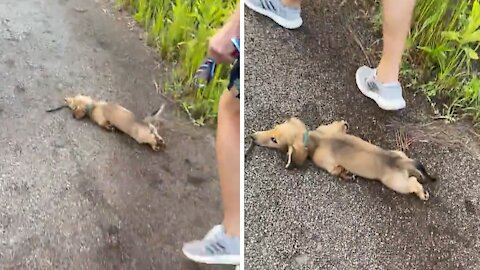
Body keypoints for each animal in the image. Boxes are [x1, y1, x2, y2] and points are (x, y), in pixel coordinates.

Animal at [251, 118, 436, 200]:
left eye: (274, 140)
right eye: (274, 127)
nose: (252, 137)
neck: (316, 139)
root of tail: (399, 161)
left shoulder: (326, 162)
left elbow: (336, 170)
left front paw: (346, 174)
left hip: (396, 183)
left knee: (412, 183)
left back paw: (422, 193)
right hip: (401, 154)